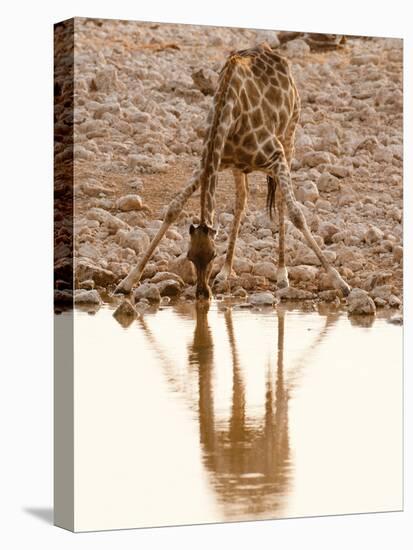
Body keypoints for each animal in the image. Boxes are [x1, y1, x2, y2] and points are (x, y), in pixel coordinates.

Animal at [114, 43, 350, 302]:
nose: (202, 294)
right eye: (190, 256)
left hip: (289, 135)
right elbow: (173, 208)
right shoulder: (208, 163)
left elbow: (297, 214)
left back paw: (281, 274)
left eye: (212, 255)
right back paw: (226, 273)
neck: (227, 114)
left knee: (279, 201)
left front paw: (341, 283)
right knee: (241, 201)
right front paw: (127, 282)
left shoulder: (276, 156)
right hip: (240, 167)